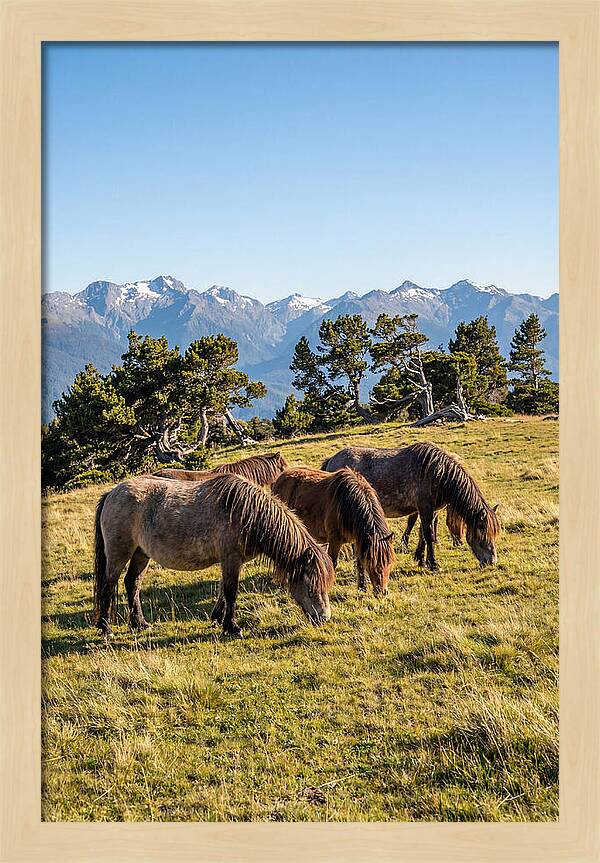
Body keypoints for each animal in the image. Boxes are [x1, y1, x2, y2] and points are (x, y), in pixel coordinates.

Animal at [93, 472, 334, 638]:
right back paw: (106, 628)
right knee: (108, 585)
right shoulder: (231, 559)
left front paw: (218, 618)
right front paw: (232, 627)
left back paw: (139, 623)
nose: (324, 618)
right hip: (119, 553)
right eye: (311, 588)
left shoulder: (232, 561)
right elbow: (231, 592)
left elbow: (222, 590)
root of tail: (111, 494)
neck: (246, 513)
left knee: (132, 583)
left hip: (141, 554)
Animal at [272, 466, 395, 595]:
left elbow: (359, 563)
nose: (383, 592)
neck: (347, 504)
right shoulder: (335, 540)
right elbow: (333, 563)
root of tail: (280, 478)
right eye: (373, 563)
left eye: (389, 562)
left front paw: (362, 588)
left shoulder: (358, 541)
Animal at [321, 442, 500, 570]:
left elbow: (423, 534)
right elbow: (429, 535)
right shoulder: (425, 508)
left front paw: (421, 560)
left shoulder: (431, 511)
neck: (437, 472)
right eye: (482, 528)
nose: (492, 561)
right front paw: (433, 564)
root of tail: (331, 460)